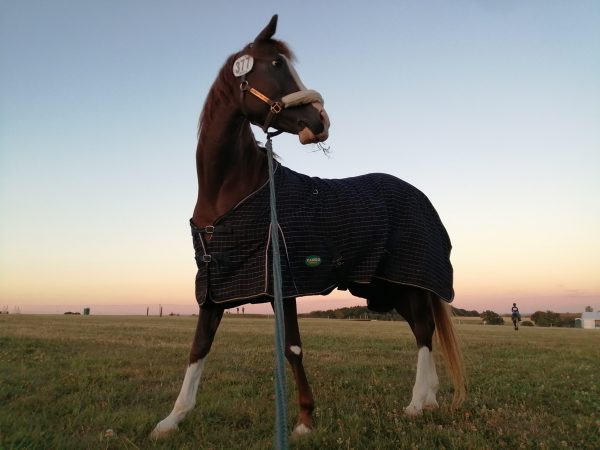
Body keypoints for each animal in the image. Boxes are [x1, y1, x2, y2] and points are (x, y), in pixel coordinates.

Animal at [152, 14, 466, 440]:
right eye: (276, 65)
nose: (321, 121)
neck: (231, 192)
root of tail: (419, 196)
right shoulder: (215, 286)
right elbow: (199, 346)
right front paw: (173, 419)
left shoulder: (283, 282)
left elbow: (293, 347)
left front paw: (303, 420)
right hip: (393, 286)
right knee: (424, 330)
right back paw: (428, 400)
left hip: (410, 281)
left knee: (422, 331)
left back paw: (417, 403)